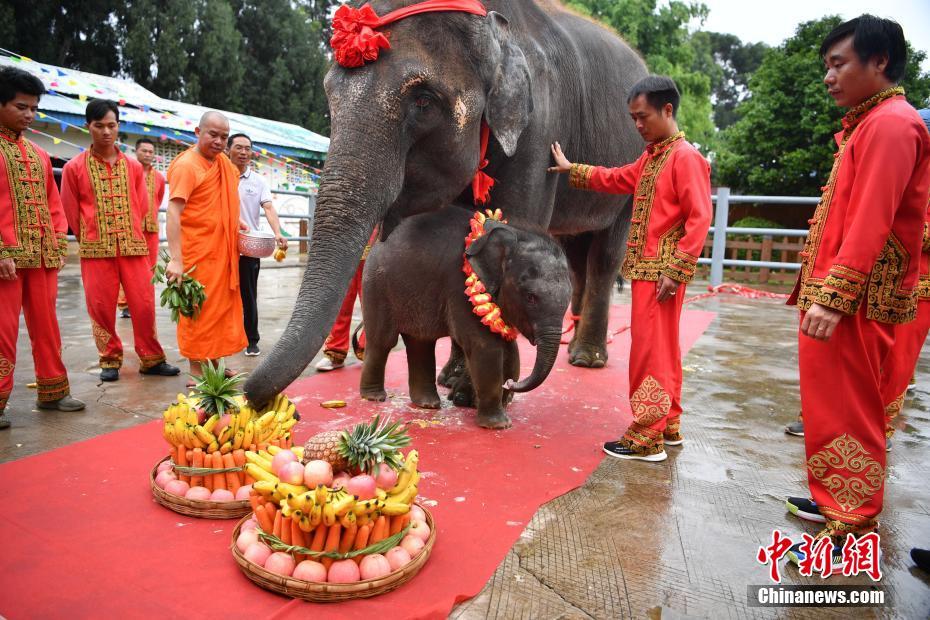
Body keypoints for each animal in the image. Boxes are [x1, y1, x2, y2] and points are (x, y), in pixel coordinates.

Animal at [358, 206, 568, 428]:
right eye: (531, 297)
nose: (510, 383)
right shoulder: (459, 288)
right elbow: (485, 345)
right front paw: (498, 425)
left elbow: (509, 346)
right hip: (376, 286)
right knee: (382, 341)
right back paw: (374, 397)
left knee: (420, 343)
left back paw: (428, 404)